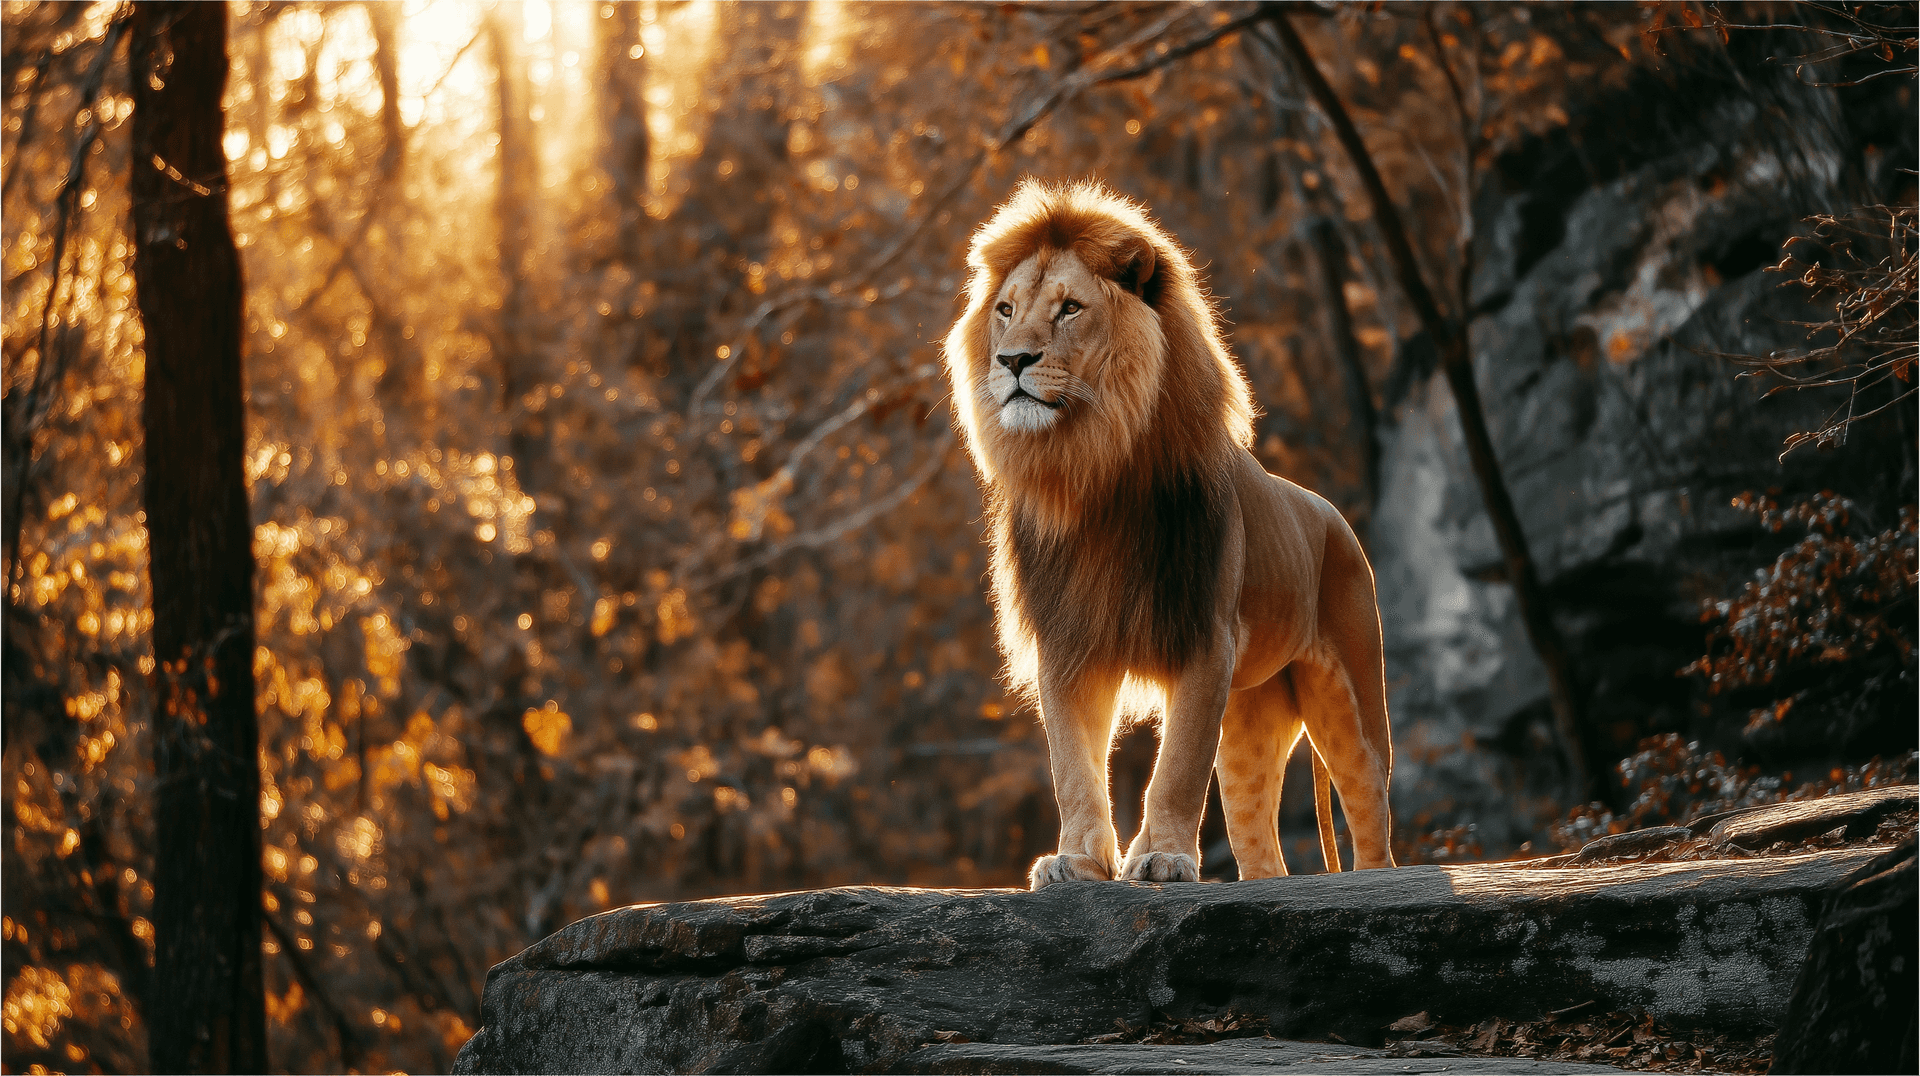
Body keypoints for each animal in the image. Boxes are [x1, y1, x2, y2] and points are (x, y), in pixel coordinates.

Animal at [942, 179, 1396, 889]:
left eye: (1070, 309)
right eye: (1005, 310)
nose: (1011, 359)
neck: (1094, 467)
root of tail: (1332, 516)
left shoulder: (1204, 635)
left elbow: (1177, 766)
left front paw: (1164, 859)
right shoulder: (1067, 641)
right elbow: (1073, 765)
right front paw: (1076, 861)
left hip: (1351, 702)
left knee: (1372, 816)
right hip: (1248, 727)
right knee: (1262, 853)